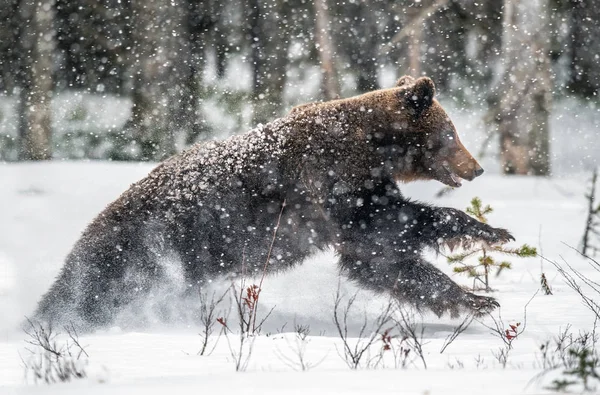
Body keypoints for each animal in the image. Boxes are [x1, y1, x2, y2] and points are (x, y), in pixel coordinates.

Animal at [34, 76, 510, 330]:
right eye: (451, 133)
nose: (477, 168)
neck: (375, 146)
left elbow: (380, 261)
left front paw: (474, 293)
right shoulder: (332, 179)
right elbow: (384, 226)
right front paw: (488, 243)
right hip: (139, 254)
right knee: (91, 293)